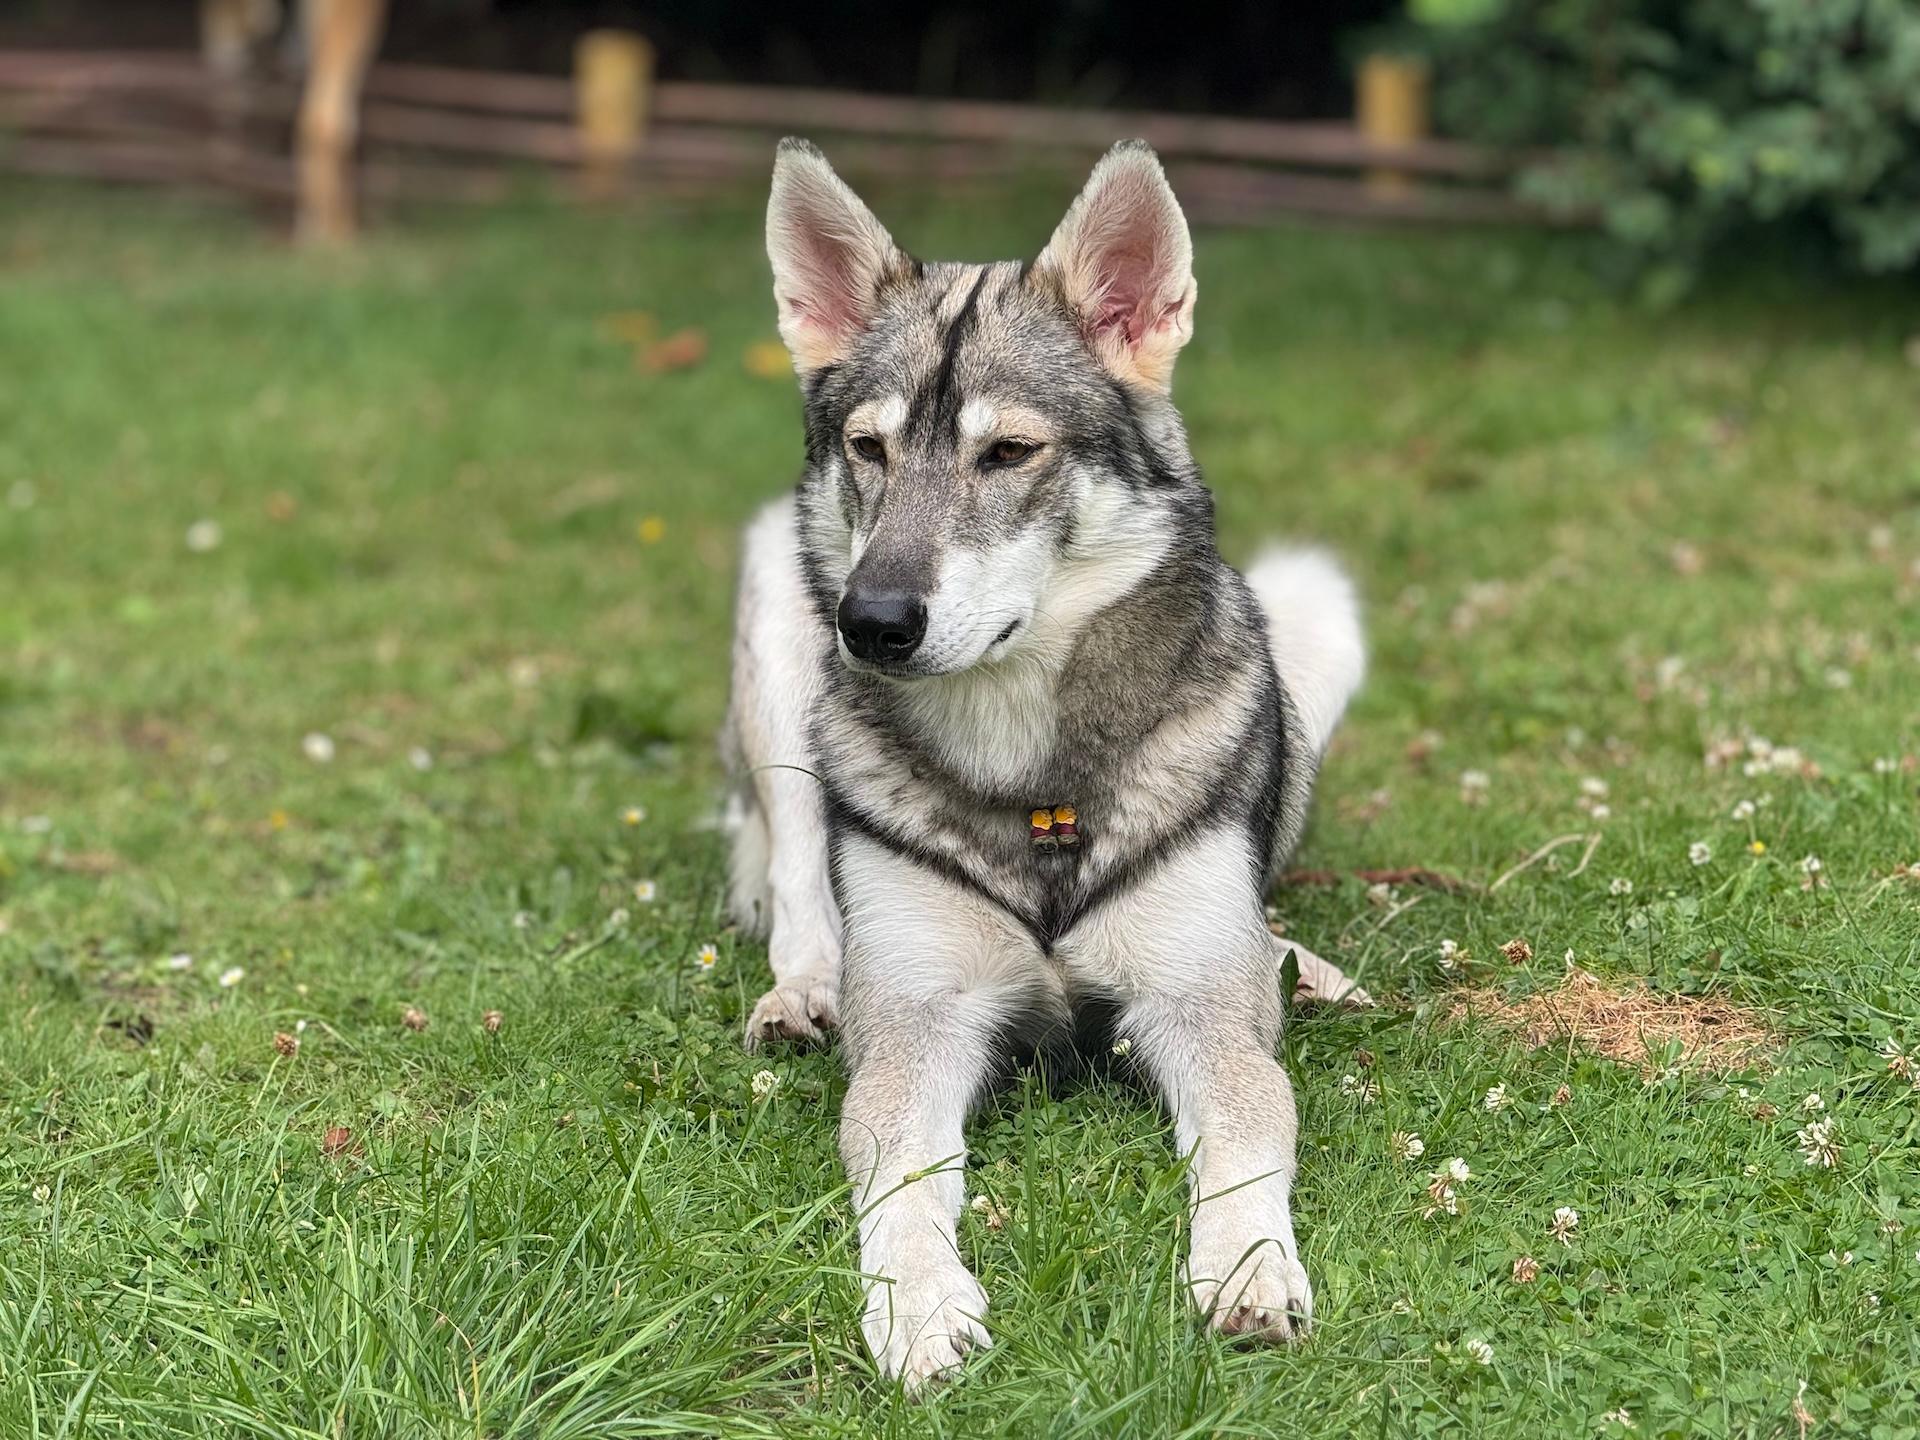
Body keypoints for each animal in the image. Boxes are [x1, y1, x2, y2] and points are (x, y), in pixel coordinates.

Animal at [721, 138, 1367, 1390]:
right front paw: (920, 1306)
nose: (872, 622)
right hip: (776, 621)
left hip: (1316, 612)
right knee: (796, 880)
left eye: (1009, 452)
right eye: (868, 450)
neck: (1035, 786)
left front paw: (1250, 1268)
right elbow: (902, 1179)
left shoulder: (1200, 1012)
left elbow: (1248, 1137)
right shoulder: (920, 1023)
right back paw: (802, 990)